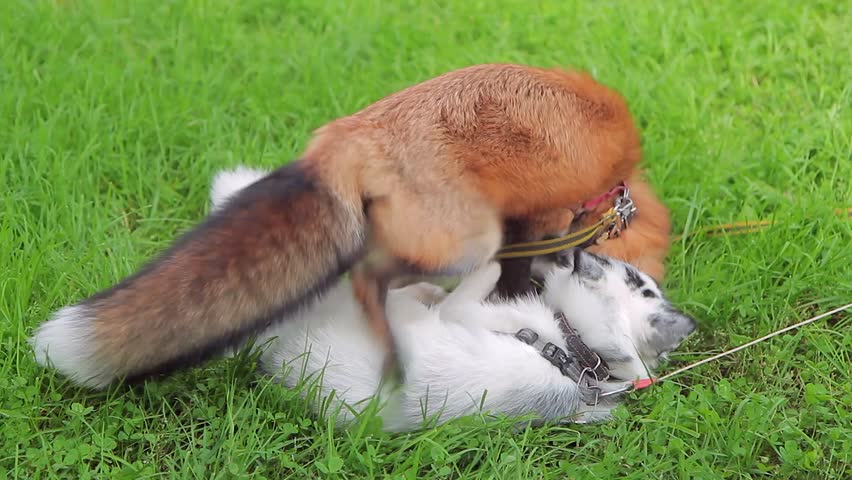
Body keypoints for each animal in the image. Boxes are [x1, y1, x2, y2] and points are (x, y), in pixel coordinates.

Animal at [30, 63, 671, 390]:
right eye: (637, 285)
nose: (573, 263)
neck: (616, 187)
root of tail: (345, 135)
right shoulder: (538, 221)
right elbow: (512, 276)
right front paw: (518, 298)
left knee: (375, 278)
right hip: (467, 239)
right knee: (372, 279)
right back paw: (391, 351)